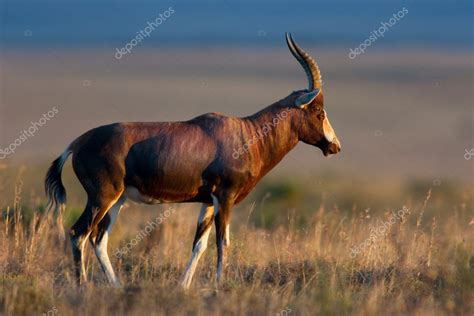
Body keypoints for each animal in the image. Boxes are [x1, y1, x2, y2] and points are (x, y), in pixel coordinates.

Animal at [44, 32, 340, 288]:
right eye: (318, 110)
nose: (335, 146)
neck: (247, 132)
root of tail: (77, 143)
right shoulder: (225, 197)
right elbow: (223, 242)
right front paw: (219, 286)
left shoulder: (209, 201)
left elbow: (200, 244)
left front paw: (183, 286)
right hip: (102, 197)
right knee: (78, 234)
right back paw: (82, 288)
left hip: (118, 200)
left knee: (98, 240)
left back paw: (117, 287)